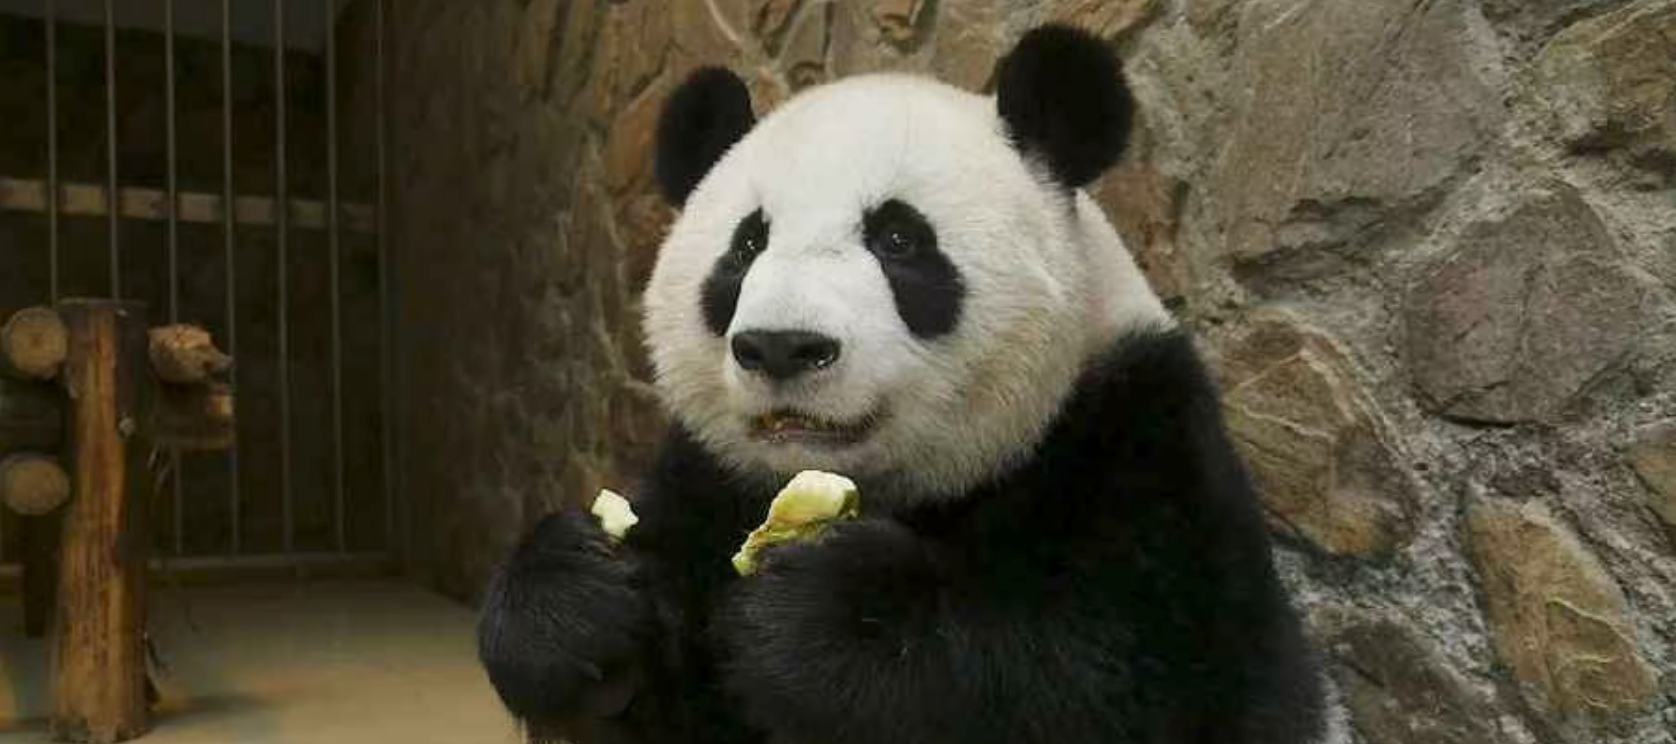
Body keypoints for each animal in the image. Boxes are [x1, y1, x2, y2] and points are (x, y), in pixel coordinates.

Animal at [477, 23, 1334, 744]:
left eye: (898, 239)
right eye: (746, 246)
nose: (782, 346)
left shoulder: (1139, 444)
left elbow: (1127, 674)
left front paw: (824, 616)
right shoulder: (709, 480)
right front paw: (576, 603)